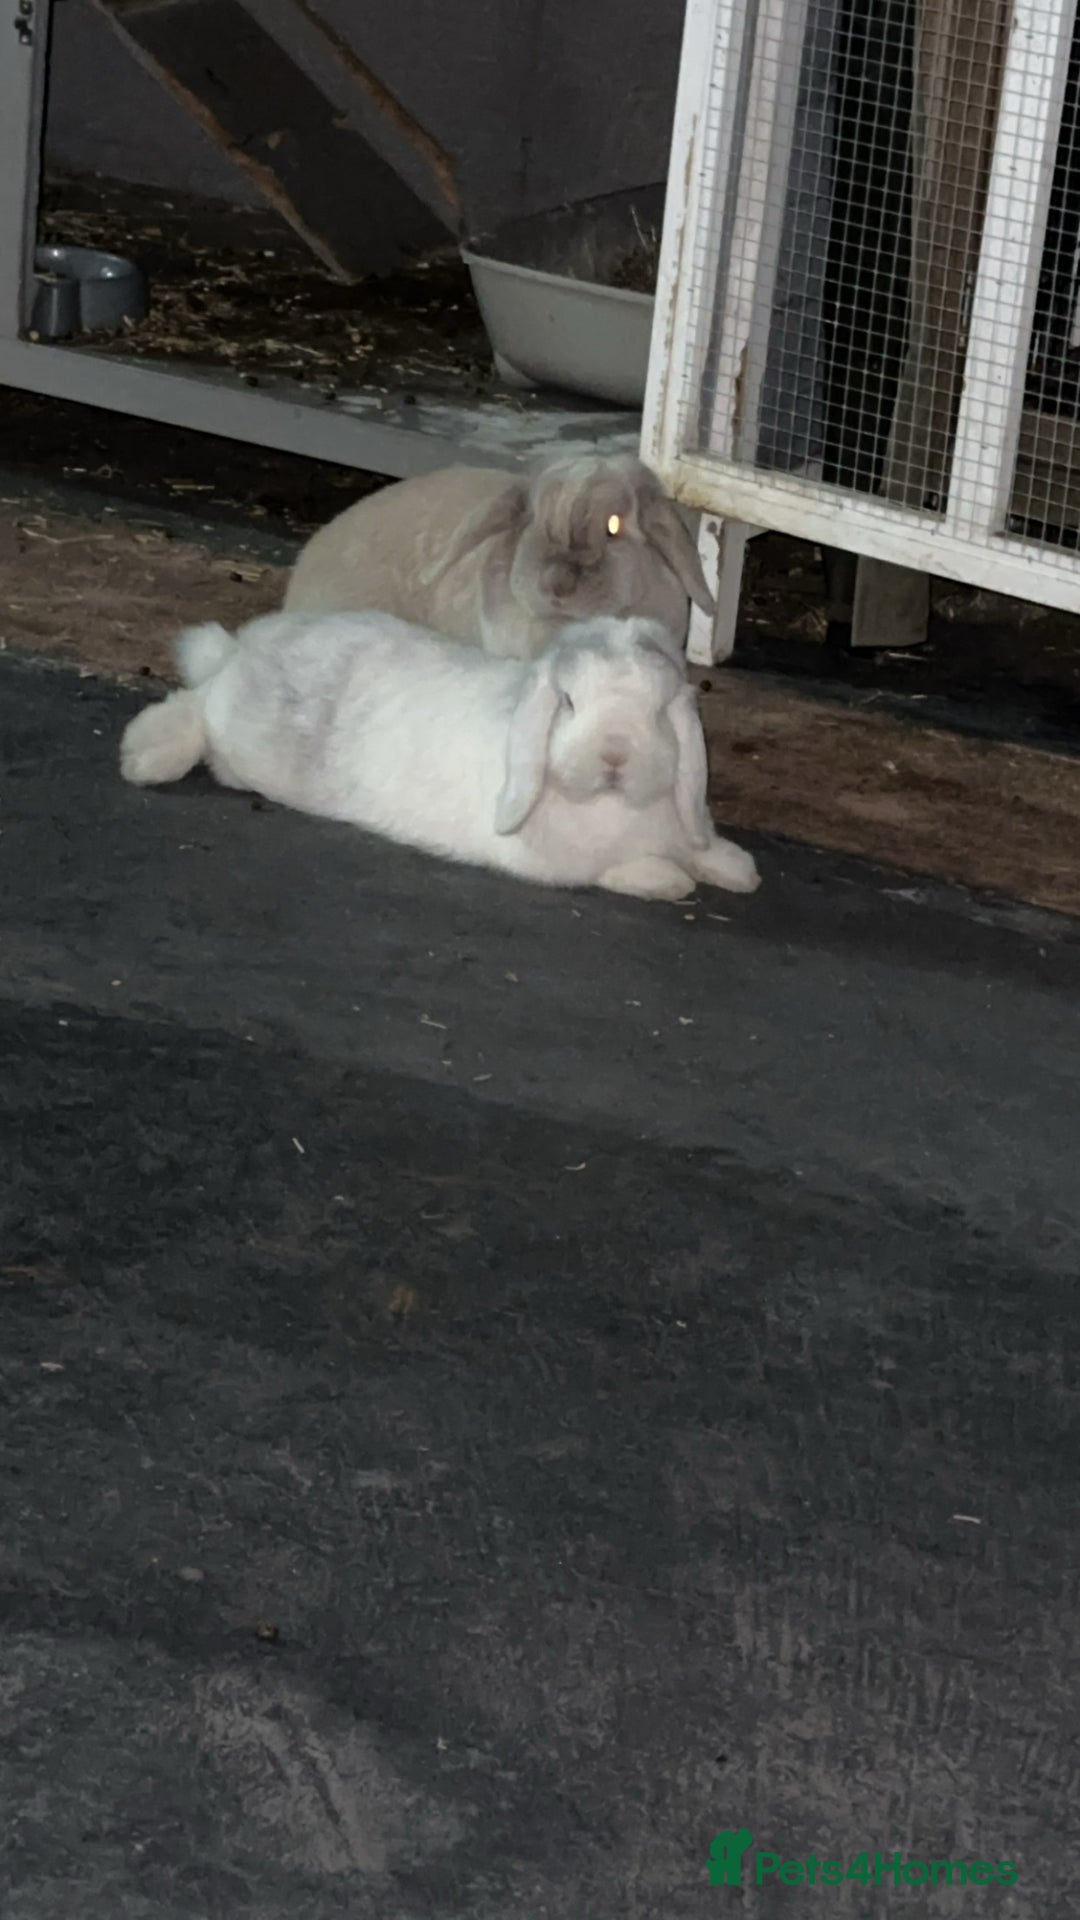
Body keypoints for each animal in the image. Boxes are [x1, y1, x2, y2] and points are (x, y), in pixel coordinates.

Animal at [120, 608, 760, 904]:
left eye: (659, 711)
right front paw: (670, 880)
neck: (615, 807)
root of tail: (240, 650)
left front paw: (739, 869)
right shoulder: (564, 863)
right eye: (570, 702)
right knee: (195, 709)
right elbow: (630, 871)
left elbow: (703, 849)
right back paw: (143, 756)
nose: (615, 756)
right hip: (234, 724)